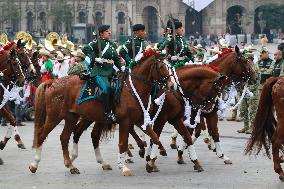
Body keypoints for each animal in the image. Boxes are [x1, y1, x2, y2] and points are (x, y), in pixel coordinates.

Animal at [30, 49, 174, 176]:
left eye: (170, 66)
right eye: (162, 66)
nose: (172, 85)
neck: (132, 89)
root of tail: (53, 82)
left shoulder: (140, 120)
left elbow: (155, 137)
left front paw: (152, 160)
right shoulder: (125, 121)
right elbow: (123, 143)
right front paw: (123, 167)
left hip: (72, 117)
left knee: (65, 137)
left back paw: (71, 165)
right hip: (55, 117)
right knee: (41, 134)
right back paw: (34, 164)